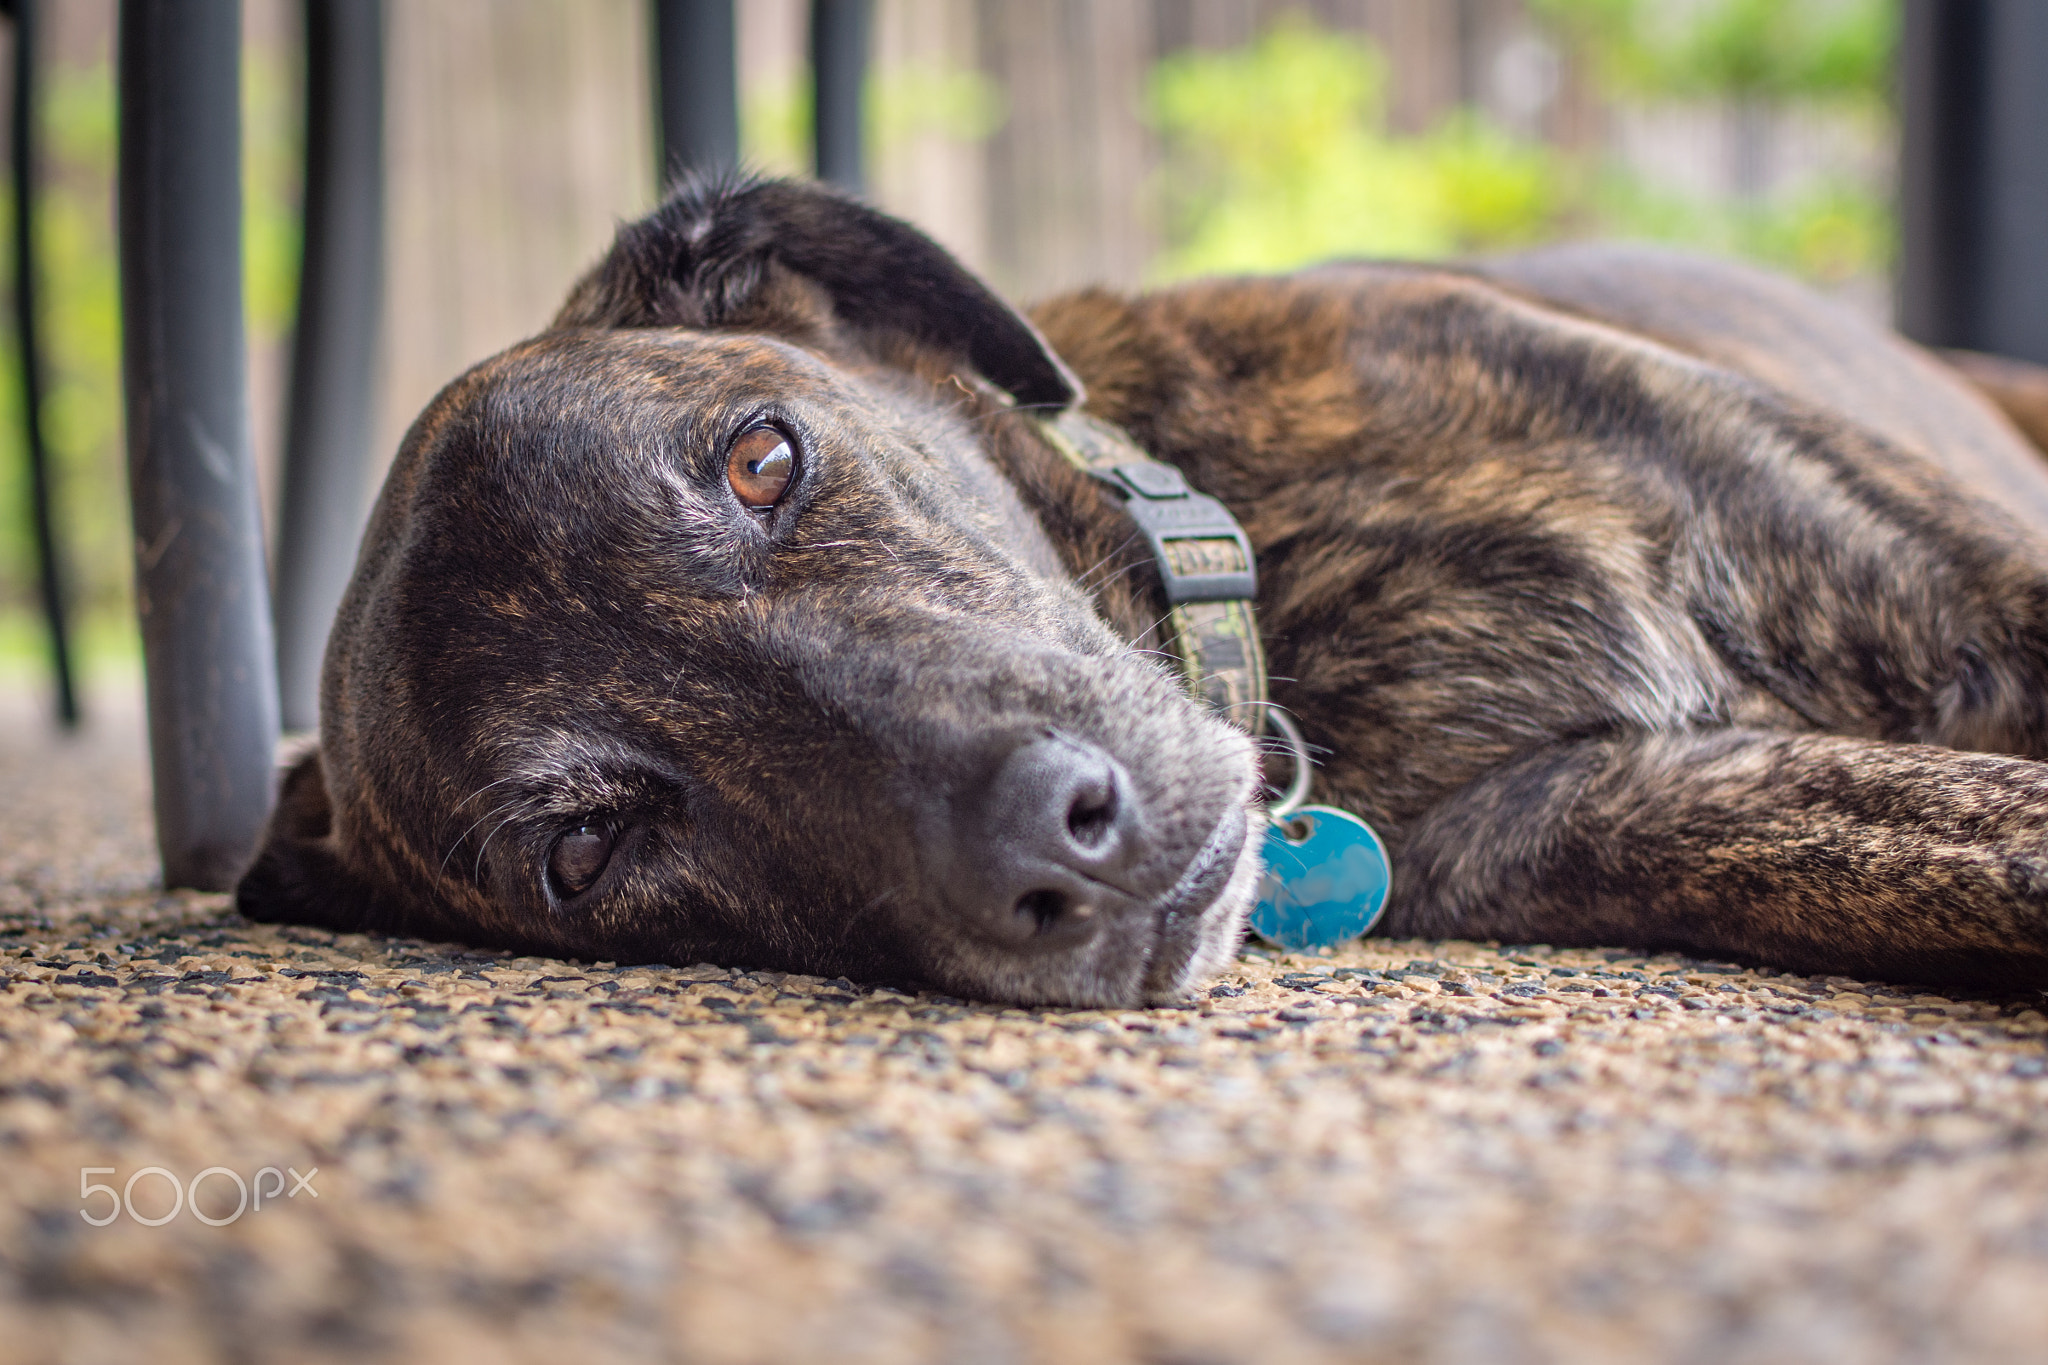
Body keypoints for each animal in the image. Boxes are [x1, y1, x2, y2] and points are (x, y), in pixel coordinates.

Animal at [235, 170, 2048, 1010]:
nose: (1060, 844)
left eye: (761, 459)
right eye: (588, 847)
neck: (1289, 590)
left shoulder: (1965, 592)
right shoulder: (1644, 806)